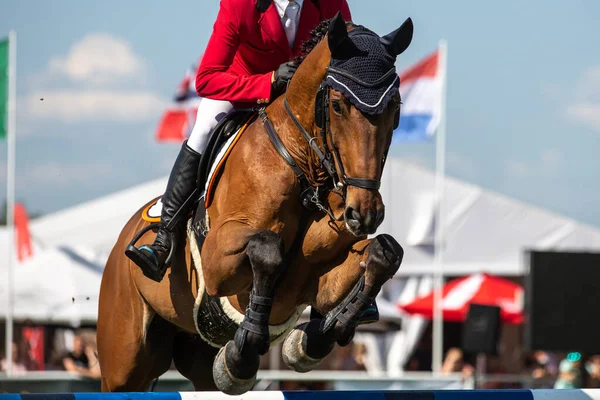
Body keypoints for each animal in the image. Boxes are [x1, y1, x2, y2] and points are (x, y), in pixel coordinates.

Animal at [98, 13, 414, 394]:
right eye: (337, 105)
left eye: (395, 108)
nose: (363, 213)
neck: (303, 169)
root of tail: (120, 241)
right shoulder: (217, 264)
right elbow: (268, 248)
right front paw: (241, 356)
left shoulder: (313, 282)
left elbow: (385, 253)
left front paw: (315, 337)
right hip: (124, 361)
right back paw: (155, 253)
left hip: (195, 356)